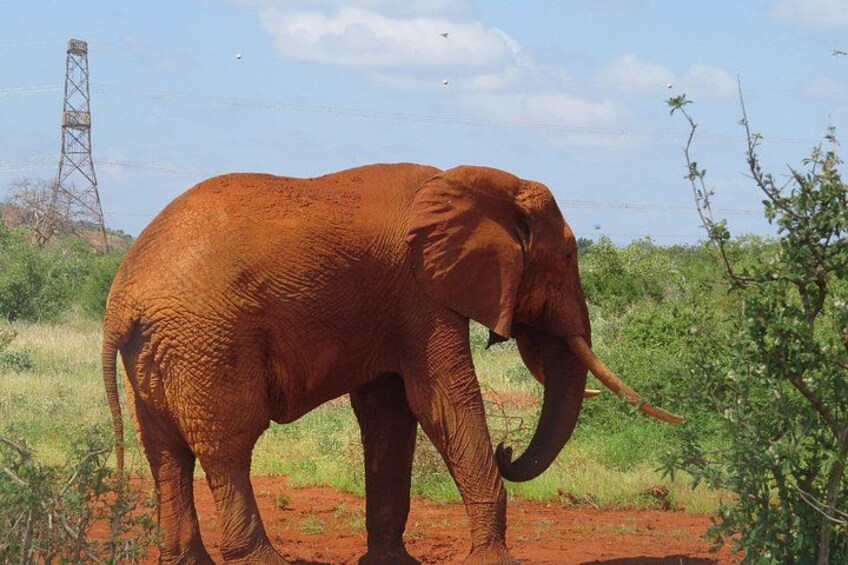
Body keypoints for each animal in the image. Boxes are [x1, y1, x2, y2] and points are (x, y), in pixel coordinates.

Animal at [102, 163, 681, 565]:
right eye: (567, 258)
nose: (506, 449)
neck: (480, 180)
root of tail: (122, 300)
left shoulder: (394, 307)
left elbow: (390, 417)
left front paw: (391, 562)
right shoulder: (420, 295)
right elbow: (443, 402)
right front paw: (493, 560)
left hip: (160, 350)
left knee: (166, 453)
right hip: (207, 339)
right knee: (228, 447)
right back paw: (262, 559)